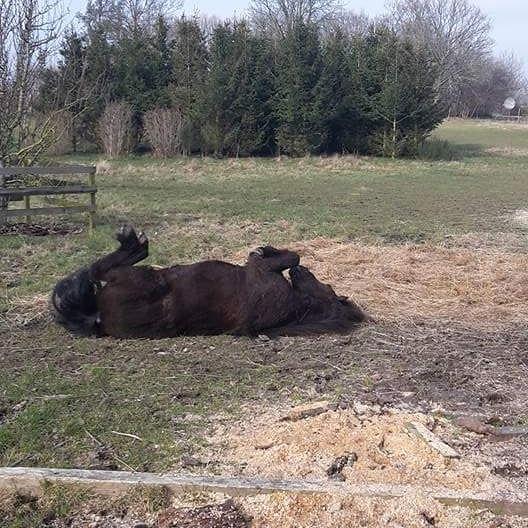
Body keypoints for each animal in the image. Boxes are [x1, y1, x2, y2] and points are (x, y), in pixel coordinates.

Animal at [51, 225, 370, 336]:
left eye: (328, 288)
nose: (300, 274)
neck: (296, 306)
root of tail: (100, 318)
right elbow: (291, 256)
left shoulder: (260, 270)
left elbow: (289, 256)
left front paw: (266, 250)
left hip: (143, 278)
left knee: (98, 270)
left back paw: (133, 243)